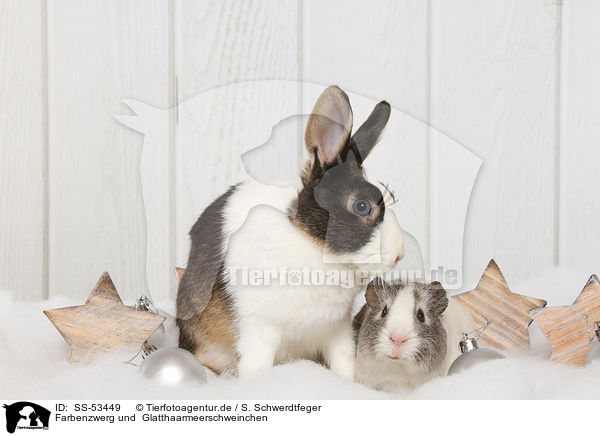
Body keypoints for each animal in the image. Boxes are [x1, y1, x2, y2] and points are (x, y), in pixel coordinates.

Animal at [176, 85, 406, 378]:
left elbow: (345, 362)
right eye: (362, 206)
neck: (313, 245)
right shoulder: (258, 330)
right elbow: (256, 367)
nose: (399, 254)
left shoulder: (336, 330)